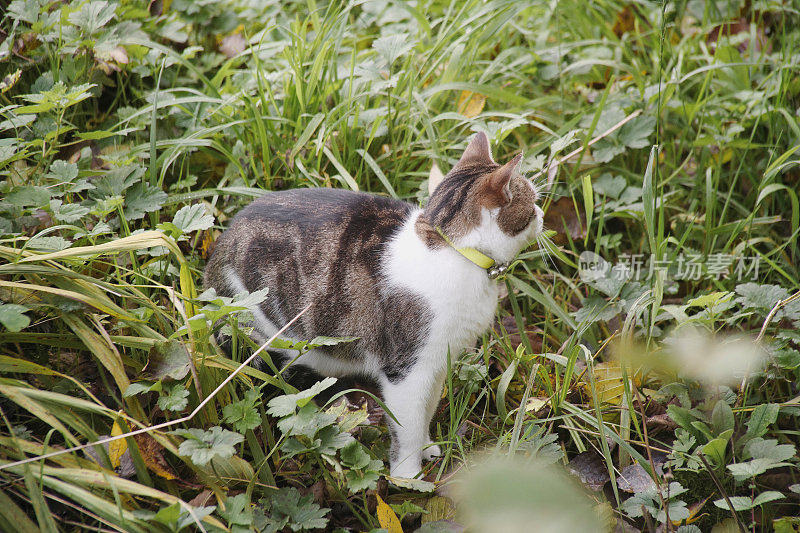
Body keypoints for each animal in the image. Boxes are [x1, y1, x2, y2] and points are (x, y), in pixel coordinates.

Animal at [203, 133, 548, 478]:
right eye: (532, 202)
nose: (543, 213)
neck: (449, 248)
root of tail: (219, 247)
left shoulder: (438, 361)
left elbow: (427, 410)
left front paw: (427, 447)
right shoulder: (406, 368)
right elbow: (407, 425)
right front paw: (407, 475)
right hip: (257, 328)